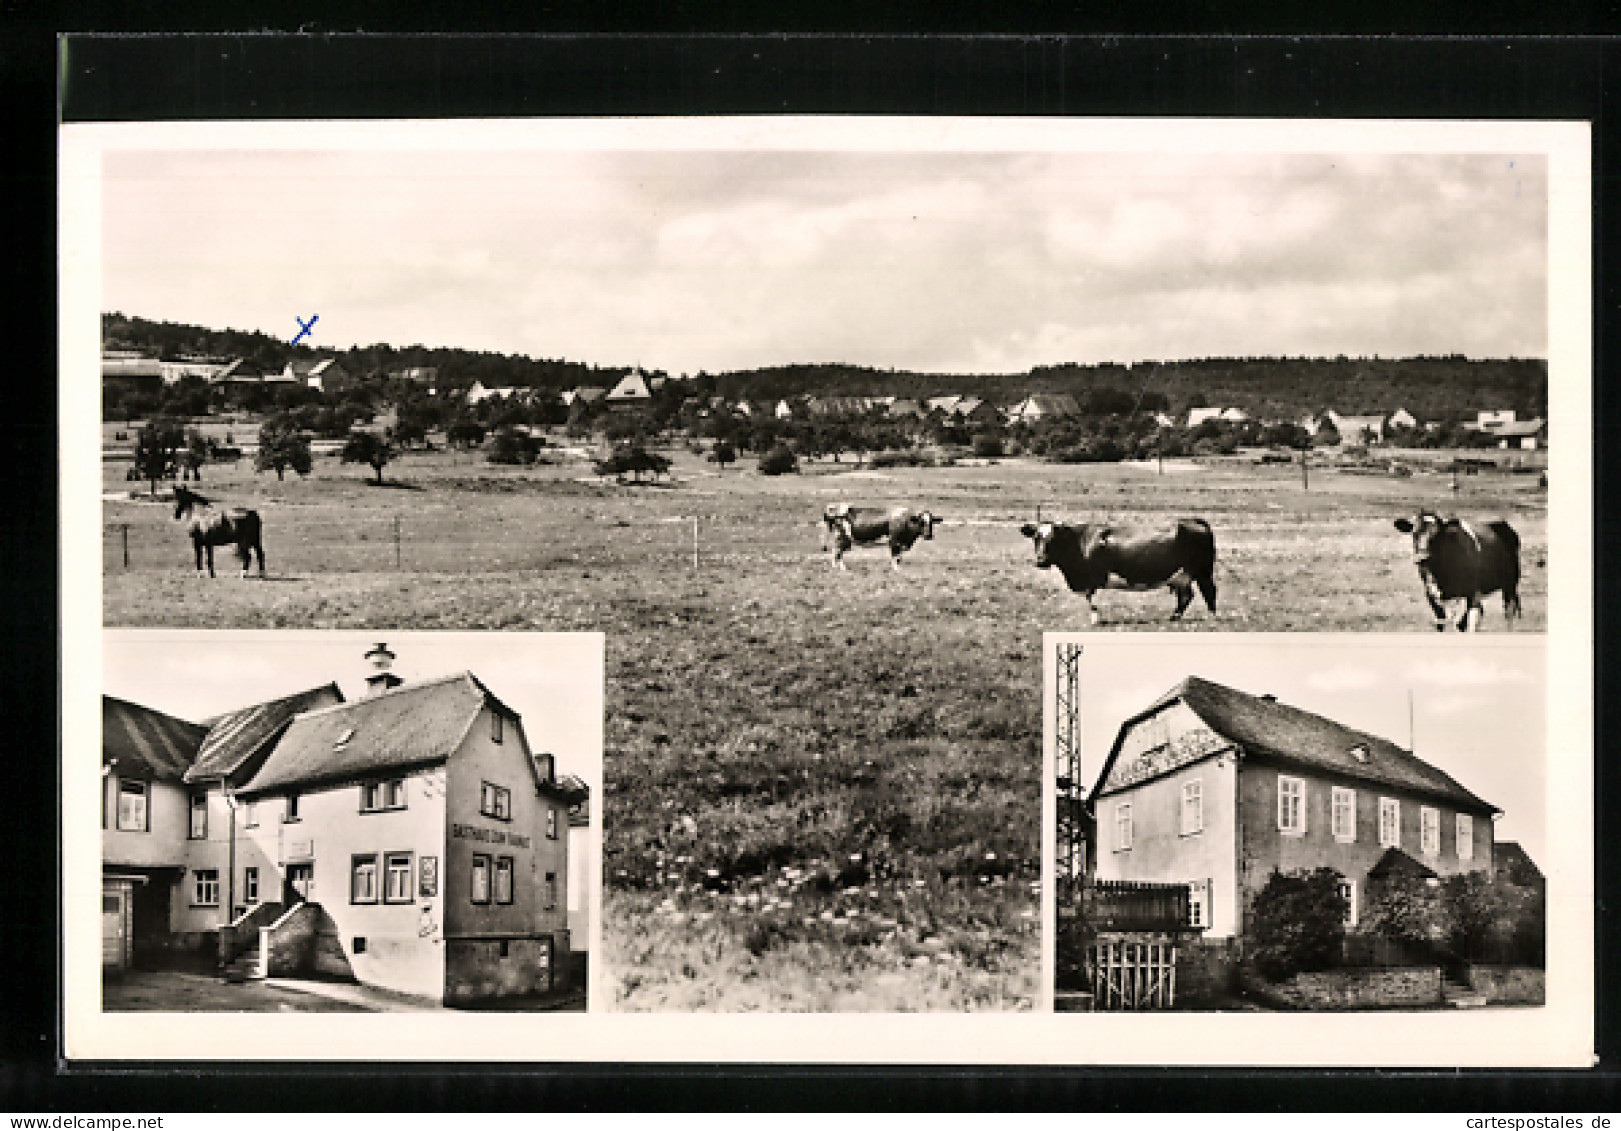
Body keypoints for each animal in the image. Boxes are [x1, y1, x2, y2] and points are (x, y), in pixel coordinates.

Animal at [1017, 515, 1212, 622]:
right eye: (1036, 537)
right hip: (1181, 576)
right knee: (1186, 596)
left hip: (1202, 572)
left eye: (1054, 539)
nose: (1041, 561)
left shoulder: (1090, 578)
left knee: (1209, 592)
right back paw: (1174, 617)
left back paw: (1211, 617)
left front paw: (1095, 620)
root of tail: (1191, 520)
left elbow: (1090, 599)